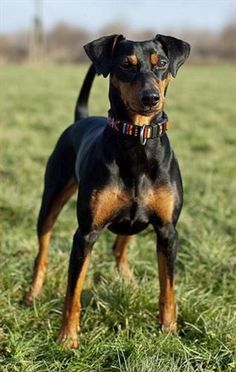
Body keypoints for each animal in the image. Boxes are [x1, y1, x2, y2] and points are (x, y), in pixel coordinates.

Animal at [24, 32, 190, 348]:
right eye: (126, 64)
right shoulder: (85, 233)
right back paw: (32, 293)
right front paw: (67, 338)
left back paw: (128, 280)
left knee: (120, 246)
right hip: (51, 201)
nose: (151, 98)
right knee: (43, 249)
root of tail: (81, 119)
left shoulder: (167, 231)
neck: (138, 140)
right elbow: (73, 291)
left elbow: (168, 288)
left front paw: (170, 330)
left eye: (162, 63)